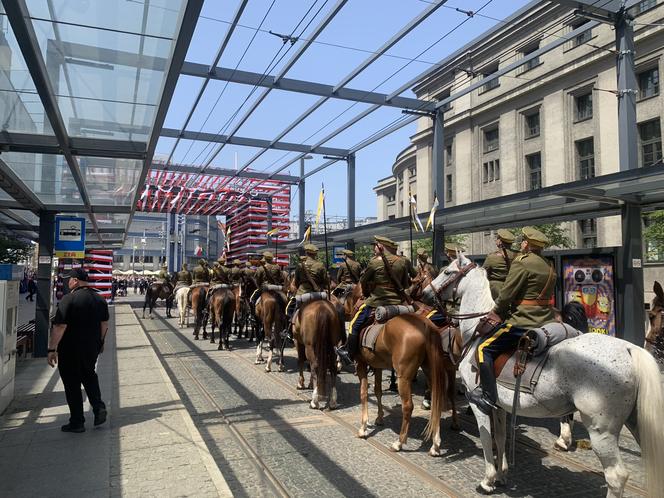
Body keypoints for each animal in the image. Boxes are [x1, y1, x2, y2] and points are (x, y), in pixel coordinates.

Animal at [358, 314, 452, 458]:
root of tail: (425, 324)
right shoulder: (377, 366)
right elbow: (378, 391)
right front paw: (379, 418)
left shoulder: (361, 363)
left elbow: (364, 393)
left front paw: (363, 428)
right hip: (431, 372)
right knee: (437, 403)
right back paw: (435, 446)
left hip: (403, 378)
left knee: (408, 407)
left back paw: (399, 443)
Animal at [426, 255, 664, 496]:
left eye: (446, 271)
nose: (426, 293)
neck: (477, 332)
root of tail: (629, 348)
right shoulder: (499, 406)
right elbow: (500, 438)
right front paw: (502, 475)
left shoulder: (478, 403)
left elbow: (485, 438)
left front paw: (488, 480)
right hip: (637, 421)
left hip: (601, 430)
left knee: (616, 476)